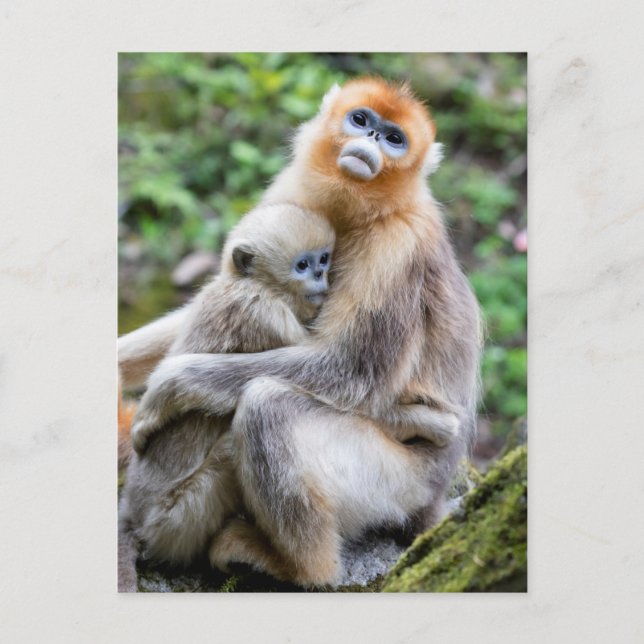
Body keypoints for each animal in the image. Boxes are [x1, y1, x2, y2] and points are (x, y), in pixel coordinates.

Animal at [121, 77, 481, 588]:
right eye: (361, 119)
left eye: (395, 139)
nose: (373, 139)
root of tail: (431, 499)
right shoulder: (293, 189)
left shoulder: (399, 244)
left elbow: (353, 372)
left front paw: (169, 386)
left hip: (398, 483)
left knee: (266, 406)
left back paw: (301, 568)